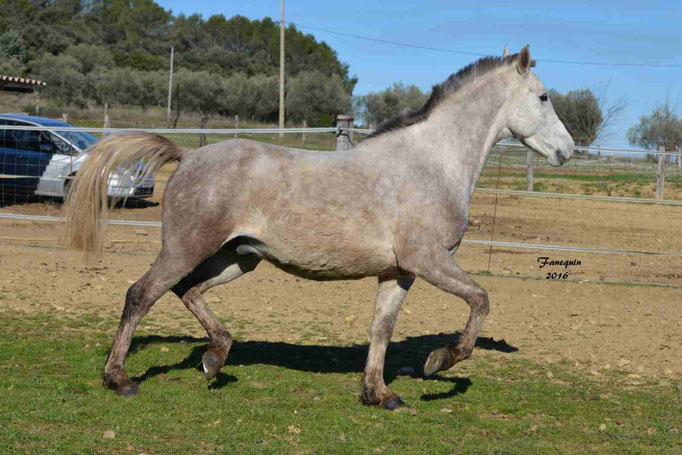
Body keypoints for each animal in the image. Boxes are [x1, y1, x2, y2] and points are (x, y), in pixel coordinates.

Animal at [65, 46, 572, 410]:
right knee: (141, 294)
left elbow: (381, 329)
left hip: (238, 258)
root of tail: (188, 155)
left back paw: (216, 356)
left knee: (186, 291)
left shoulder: (399, 272)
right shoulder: (429, 260)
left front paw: (380, 395)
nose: (567, 151)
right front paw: (439, 361)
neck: (432, 163)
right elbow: (481, 300)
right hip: (187, 247)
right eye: (544, 96)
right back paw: (120, 379)